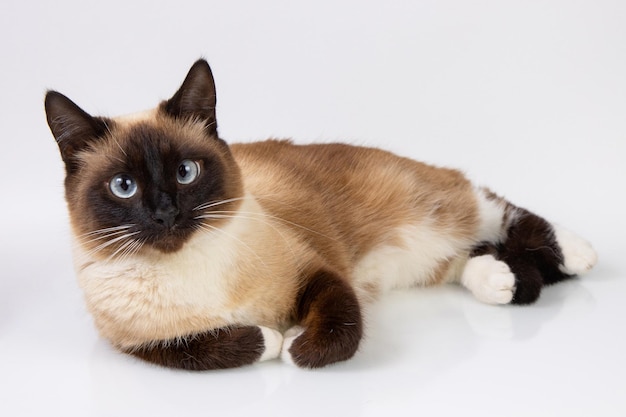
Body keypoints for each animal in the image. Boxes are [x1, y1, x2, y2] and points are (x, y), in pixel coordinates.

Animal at [42, 59, 596, 370]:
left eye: (185, 172)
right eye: (124, 187)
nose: (164, 215)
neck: (190, 270)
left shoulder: (316, 272)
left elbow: (339, 324)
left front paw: (295, 347)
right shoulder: (138, 343)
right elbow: (213, 345)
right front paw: (272, 339)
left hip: (443, 204)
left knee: (502, 210)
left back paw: (579, 254)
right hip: (430, 258)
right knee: (472, 256)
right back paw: (497, 280)